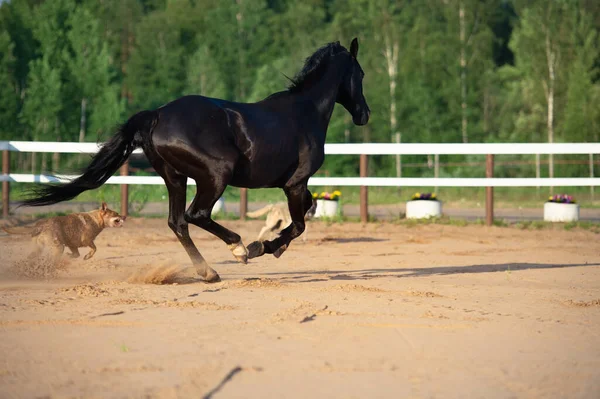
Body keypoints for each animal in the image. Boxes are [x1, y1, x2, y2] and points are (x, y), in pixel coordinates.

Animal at [22, 36, 370, 282]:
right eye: (362, 74)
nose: (364, 115)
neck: (304, 112)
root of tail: (156, 115)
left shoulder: (296, 184)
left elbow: (306, 212)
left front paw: (271, 246)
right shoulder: (295, 183)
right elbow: (298, 223)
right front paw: (264, 247)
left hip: (174, 177)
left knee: (177, 222)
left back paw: (208, 272)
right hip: (216, 174)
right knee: (196, 214)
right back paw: (238, 249)